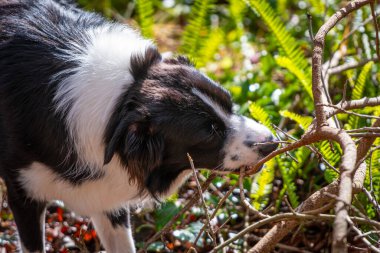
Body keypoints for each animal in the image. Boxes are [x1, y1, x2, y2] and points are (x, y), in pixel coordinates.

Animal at [0, 0, 280, 252]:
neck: (120, 104)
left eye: (230, 104)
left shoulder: (104, 197)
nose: (273, 142)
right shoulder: (23, 195)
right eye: (211, 132)